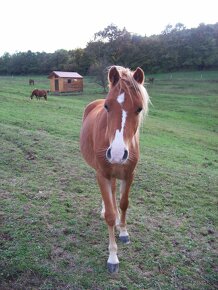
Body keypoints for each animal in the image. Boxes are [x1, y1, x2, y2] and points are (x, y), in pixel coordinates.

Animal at [80, 66, 150, 274]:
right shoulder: (102, 174)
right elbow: (110, 215)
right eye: (107, 106)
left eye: (139, 108)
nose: (118, 154)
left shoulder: (129, 175)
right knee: (108, 197)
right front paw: (112, 257)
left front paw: (124, 230)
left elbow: (124, 203)